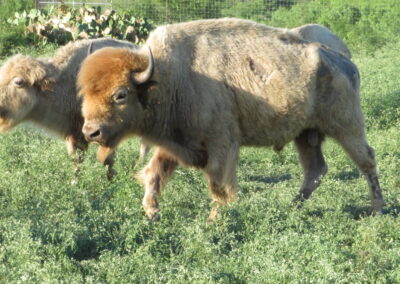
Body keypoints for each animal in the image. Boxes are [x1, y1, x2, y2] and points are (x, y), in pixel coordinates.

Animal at [79, 18, 384, 221]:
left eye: (121, 94)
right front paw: (151, 213)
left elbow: (219, 185)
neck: (169, 76)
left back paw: (377, 210)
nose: (91, 132)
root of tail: (344, 60)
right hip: (306, 134)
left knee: (366, 160)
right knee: (315, 170)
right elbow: (154, 172)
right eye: (85, 93)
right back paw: (291, 207)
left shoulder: (221, 145)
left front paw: (214, 220)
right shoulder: (175, 142)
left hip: (347, 126)